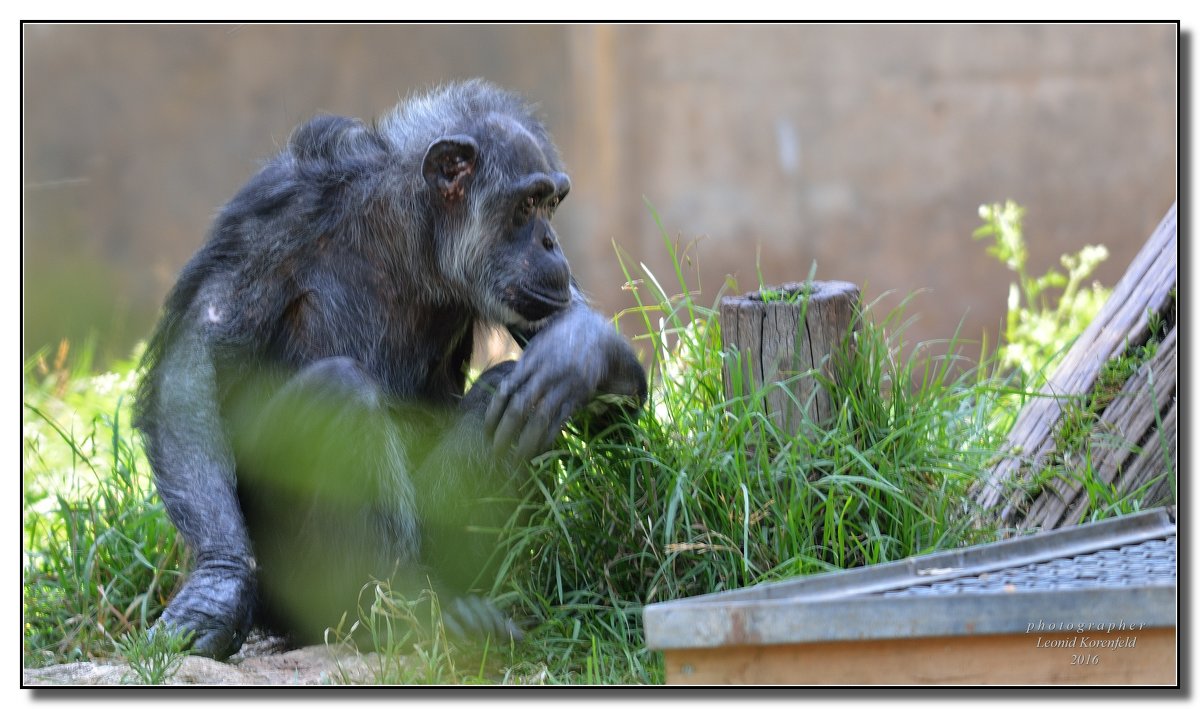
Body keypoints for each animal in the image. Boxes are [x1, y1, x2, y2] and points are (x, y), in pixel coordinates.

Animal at [133, 79, 648, 662]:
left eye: (552, 203)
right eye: (526, 204)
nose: (550, 242)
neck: (408, 229)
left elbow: (578, 345)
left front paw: (577, 352)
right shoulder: (275, 211)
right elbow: (196, 358)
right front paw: (216, 587)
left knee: (513, 396)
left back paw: (460, 611)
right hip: (293, 590)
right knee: (339, 393)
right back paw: (398, 613)